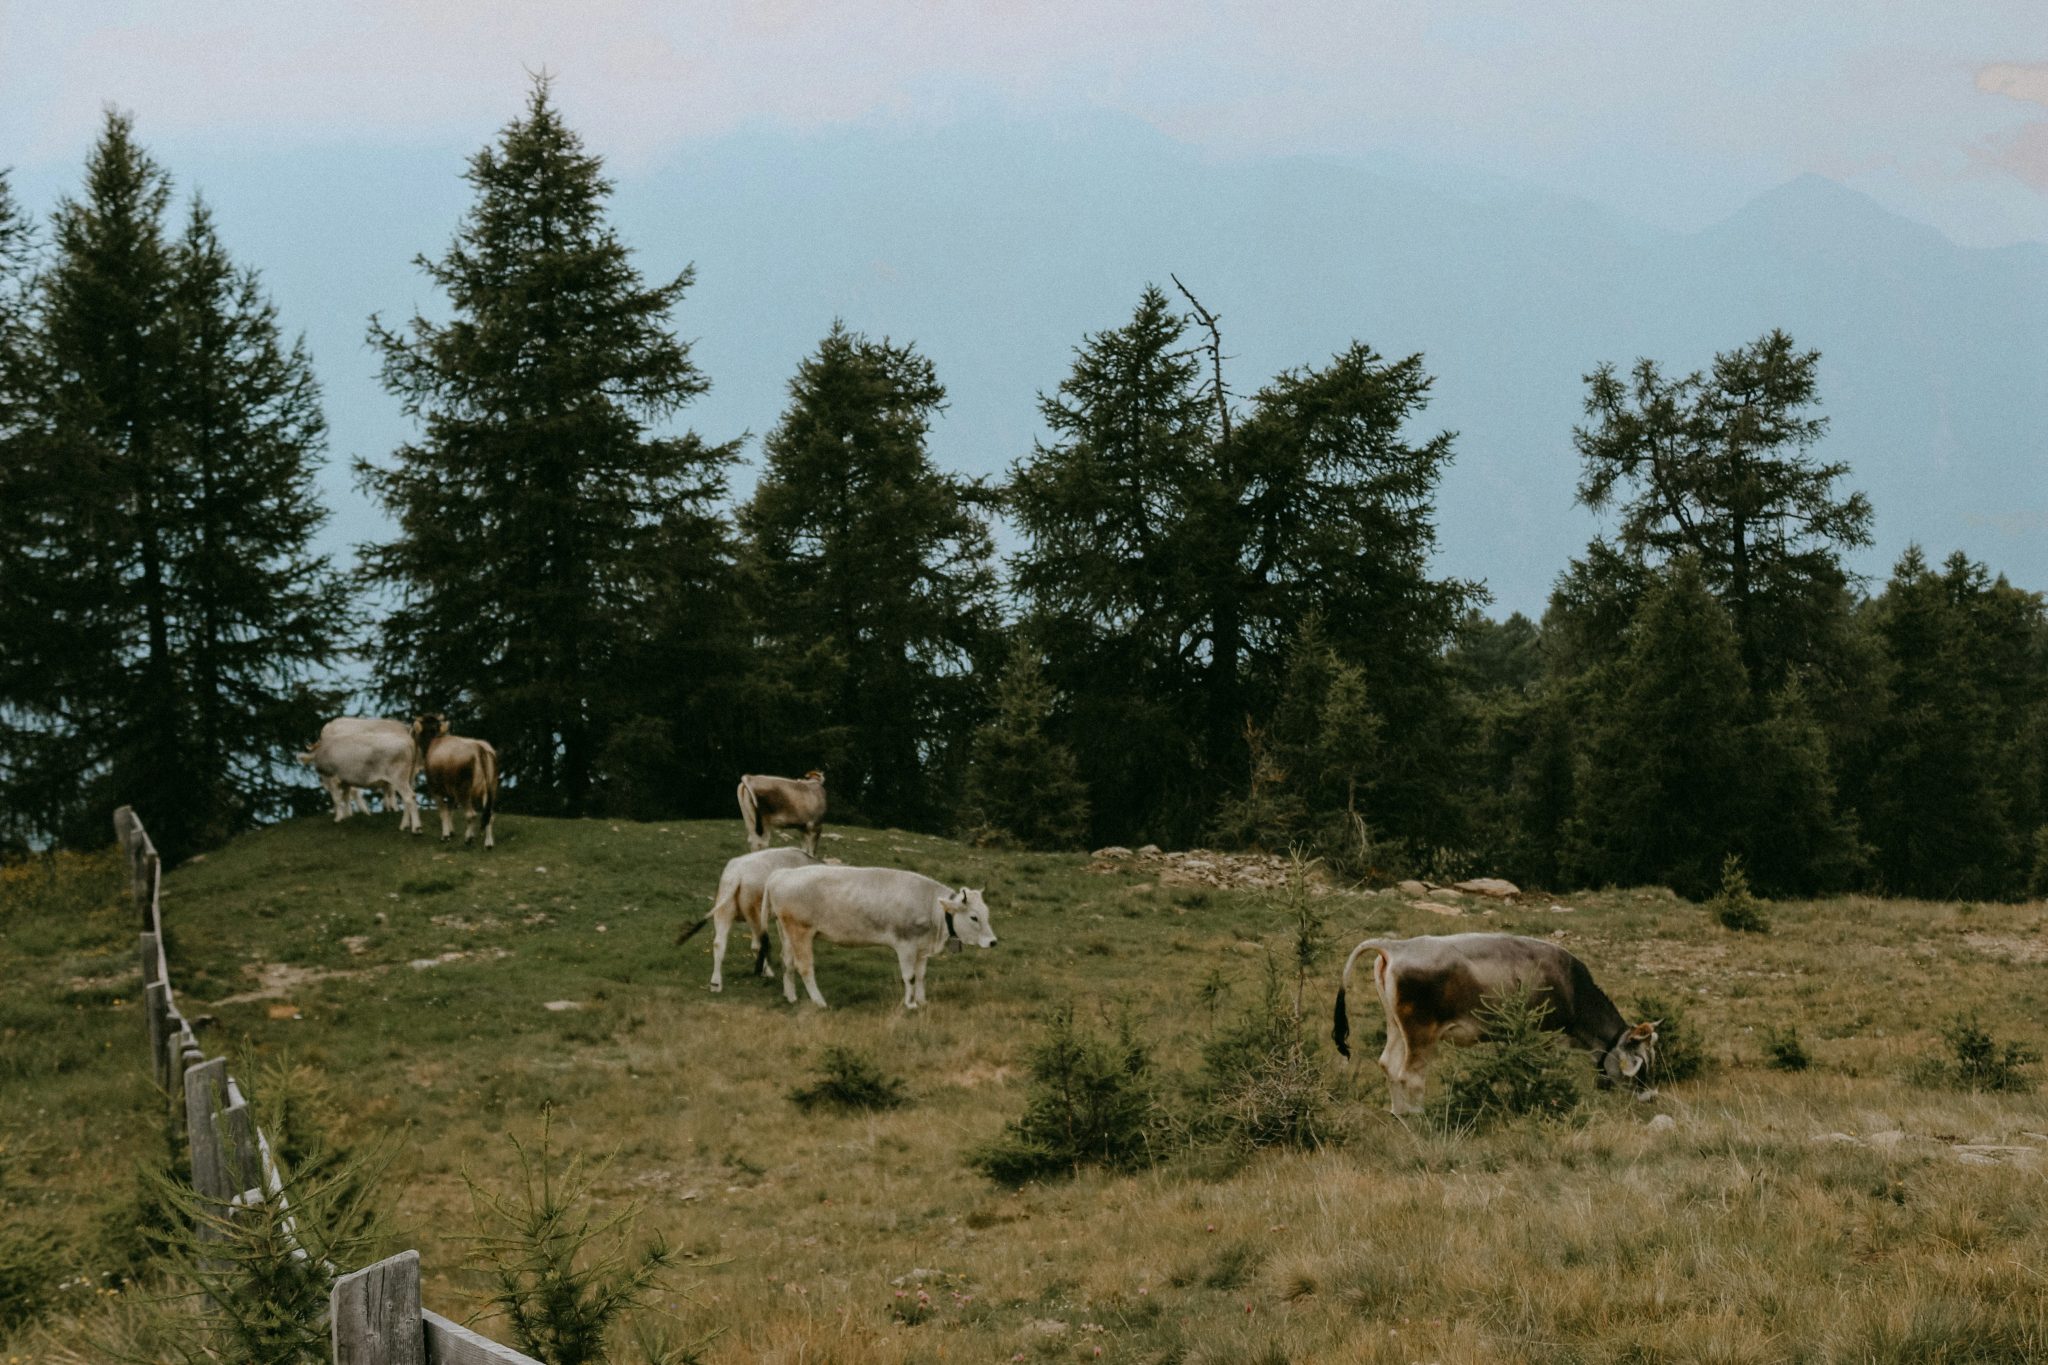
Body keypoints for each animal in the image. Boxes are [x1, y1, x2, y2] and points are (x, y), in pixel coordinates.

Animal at [414, 714, 500, 850]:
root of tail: (478, 746)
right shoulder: (451, 793)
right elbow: (449, 811)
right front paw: (451, 831)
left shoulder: (435, 789)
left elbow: (443, 812)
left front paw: (445, 835)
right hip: (491, 788)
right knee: (490, 815)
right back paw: (488, 843)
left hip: (463, 789)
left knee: (471, 814)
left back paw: (469, 839)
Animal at [675, 847, 816, 991]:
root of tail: (737, 874)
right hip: (755, 913)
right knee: (761, 943)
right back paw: (765, 972)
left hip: (726, 911)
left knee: (720, 943)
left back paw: (716, 984)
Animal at [762, 864, 995, 1010]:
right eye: (974, 917)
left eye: (987, 913)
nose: (993, 942)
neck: (930, 907)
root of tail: (781, 874)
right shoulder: (906, 945)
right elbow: (910, 976)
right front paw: (910, 1004)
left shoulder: (921, 949)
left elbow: (921, 976)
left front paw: (922, 1001)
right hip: (801, 930)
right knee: (804, 966)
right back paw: (819, 1002)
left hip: (786, 930)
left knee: (787, 961)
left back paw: (791, 997)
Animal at [1331, 932, 1659, 1115]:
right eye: (1641, 1063)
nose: (1650, 1097)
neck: (1572, 988)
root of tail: (1396, 946)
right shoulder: (1545, 1037)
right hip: (1421, 1033)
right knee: (1409, 1075)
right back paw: (1417, 1116)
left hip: (1396, 1026)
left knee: (1388, 1064)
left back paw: (1398, 1113)